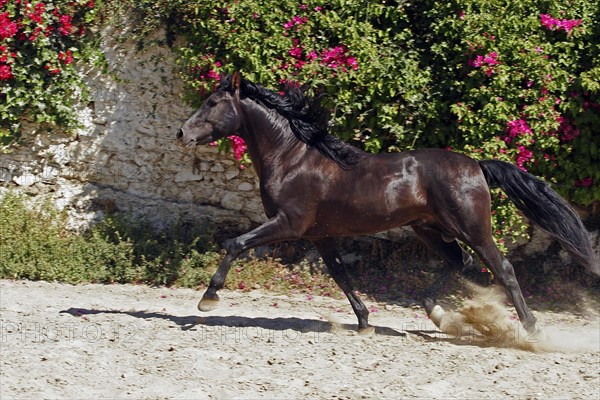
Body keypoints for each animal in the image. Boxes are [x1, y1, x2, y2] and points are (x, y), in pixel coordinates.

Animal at [178, 71, 600, 334]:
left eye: (212, 102)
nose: (182, 133)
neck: (292, 158)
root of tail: (477, 165)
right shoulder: (319, 235)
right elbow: (340, 274)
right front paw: (364, 322)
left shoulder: (289, 224)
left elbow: (235, 243)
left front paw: (208, 298)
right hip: (429, 229)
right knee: (458, 262)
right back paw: (436, 312)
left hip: (473, 228)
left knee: (504, 269)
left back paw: (532, 330)